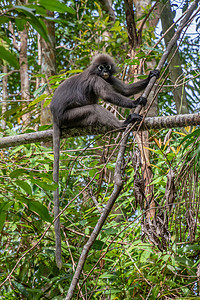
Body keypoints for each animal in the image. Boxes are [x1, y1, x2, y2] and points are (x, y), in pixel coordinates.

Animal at [50, 53, 160, 268]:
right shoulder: (96, 80)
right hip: (70, 117)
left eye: (107, 67)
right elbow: (110, 96)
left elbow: (124, 89)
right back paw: (123, 124)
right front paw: (136, 102)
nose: (104, 71)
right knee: (93, 108)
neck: (97, 74)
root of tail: (55, 117)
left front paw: (152, 74)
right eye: (100, 67)